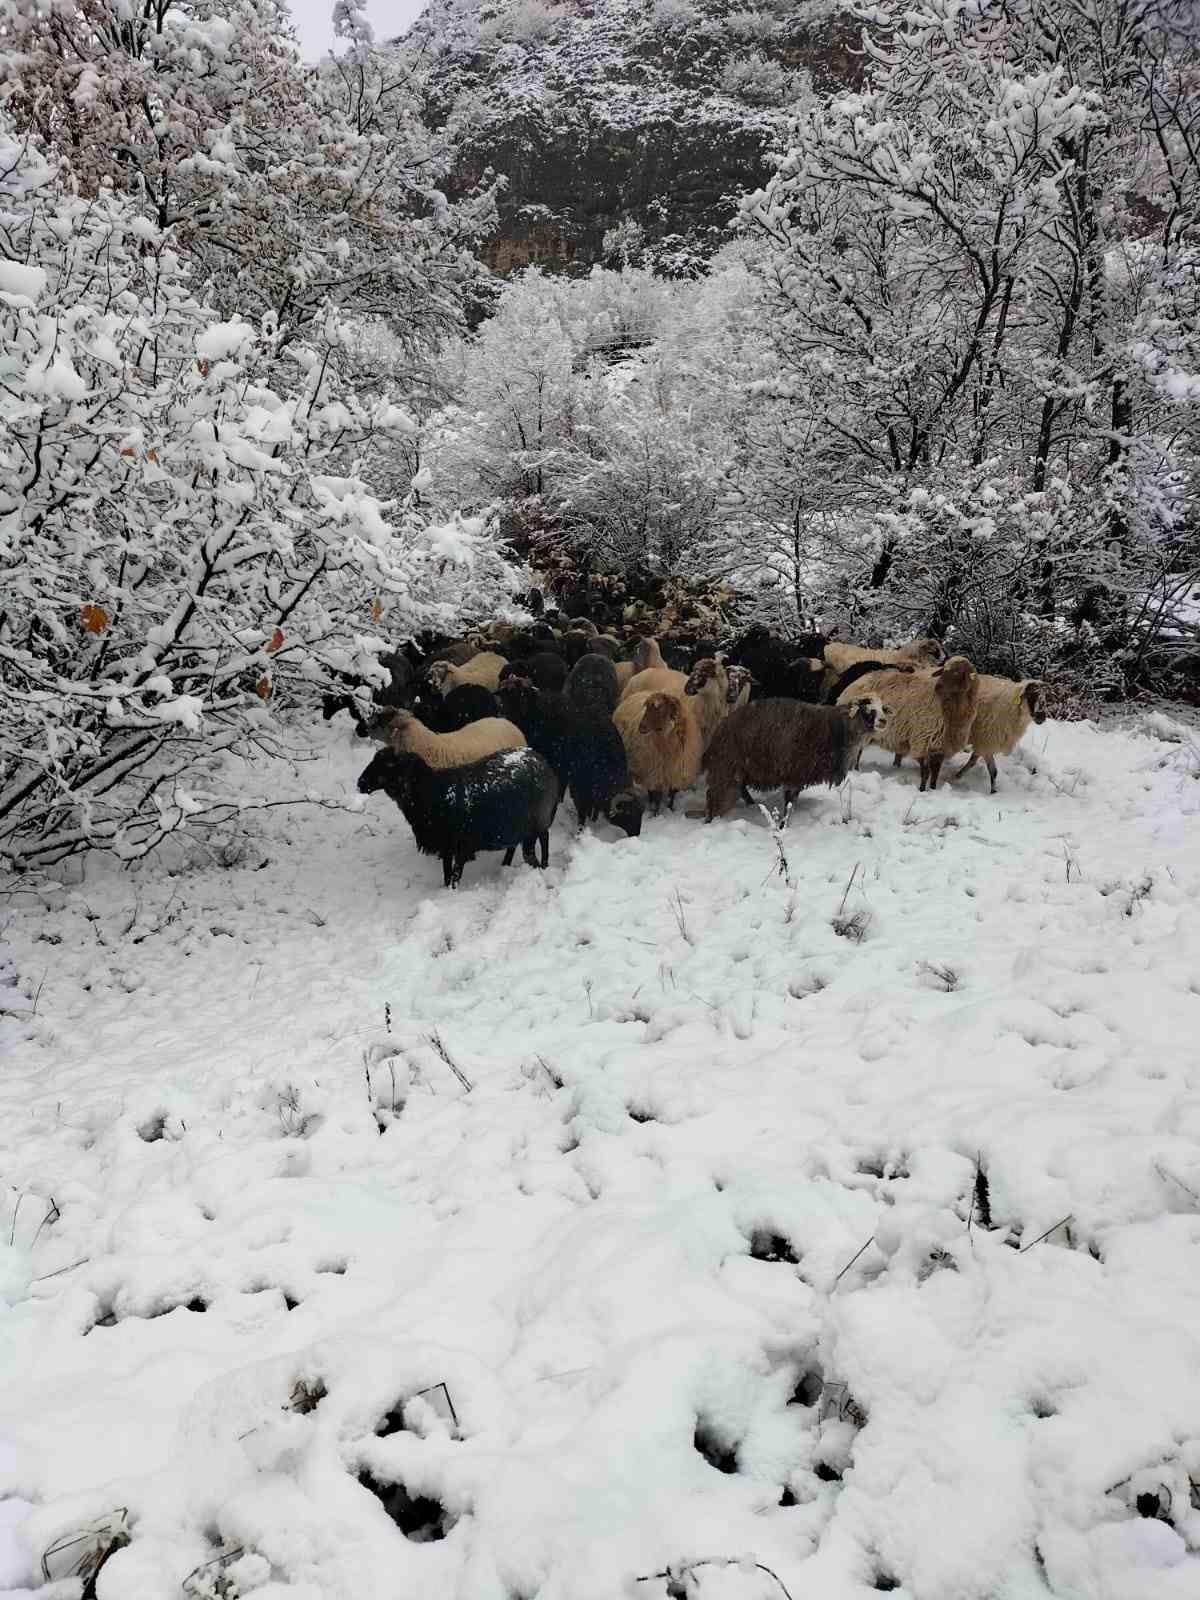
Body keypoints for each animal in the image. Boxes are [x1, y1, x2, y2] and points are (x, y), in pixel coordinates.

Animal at [360, 745, 563, 889]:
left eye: (388, 764)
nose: (360, 783)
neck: (432, 793)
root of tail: (543, 760)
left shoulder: (461, 845)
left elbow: (455, 877)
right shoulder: (446, 846)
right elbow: (446, 874)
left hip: (535, 821)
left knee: (538, 843)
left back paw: (542, 866)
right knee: (532, 840)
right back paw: (510, 865)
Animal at [499, 681, 643, 844]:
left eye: (641, 813)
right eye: (628, 814)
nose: (637, 834)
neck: (607, 764)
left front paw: (594, 817)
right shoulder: (580, 786)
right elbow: (582, 813)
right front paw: (580, 833)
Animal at [838, 656, 979, 793]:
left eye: (957, 672)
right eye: (943, 670)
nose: (938, 687)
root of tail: (856, 682)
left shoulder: (940, 748)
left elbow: (935, 773)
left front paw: (933, 789)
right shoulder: (922, 742)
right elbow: (926, 772)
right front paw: (922, 790)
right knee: (855, 753)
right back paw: (854, 771)